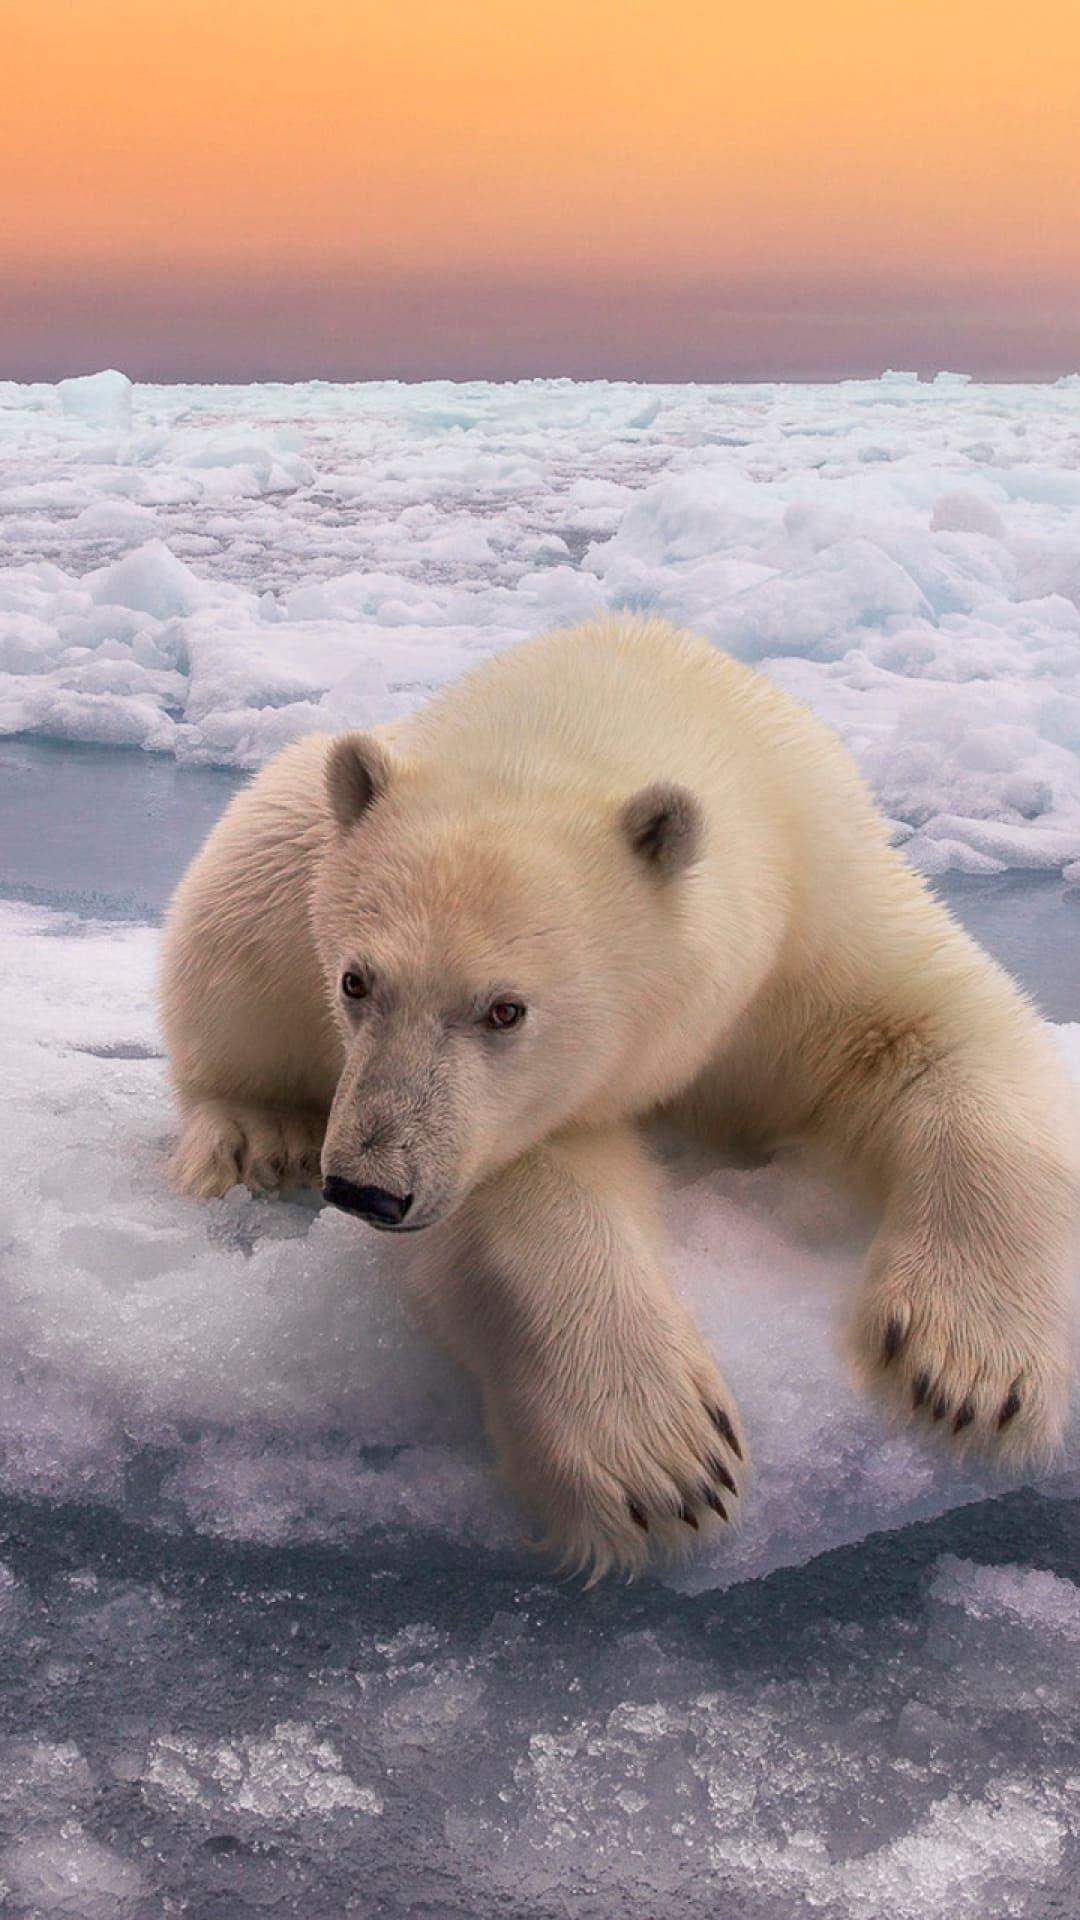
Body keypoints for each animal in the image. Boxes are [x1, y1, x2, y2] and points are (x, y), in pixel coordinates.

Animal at [160, 615, 1080, 1578]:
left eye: (505, 1008)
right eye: (355, 981)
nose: (368, 1186)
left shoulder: (820, 915)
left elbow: (943, 1037)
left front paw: (968, 1368)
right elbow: (532, 1183)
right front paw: (664, 1458)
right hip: (288, 855)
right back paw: (258, 1134)